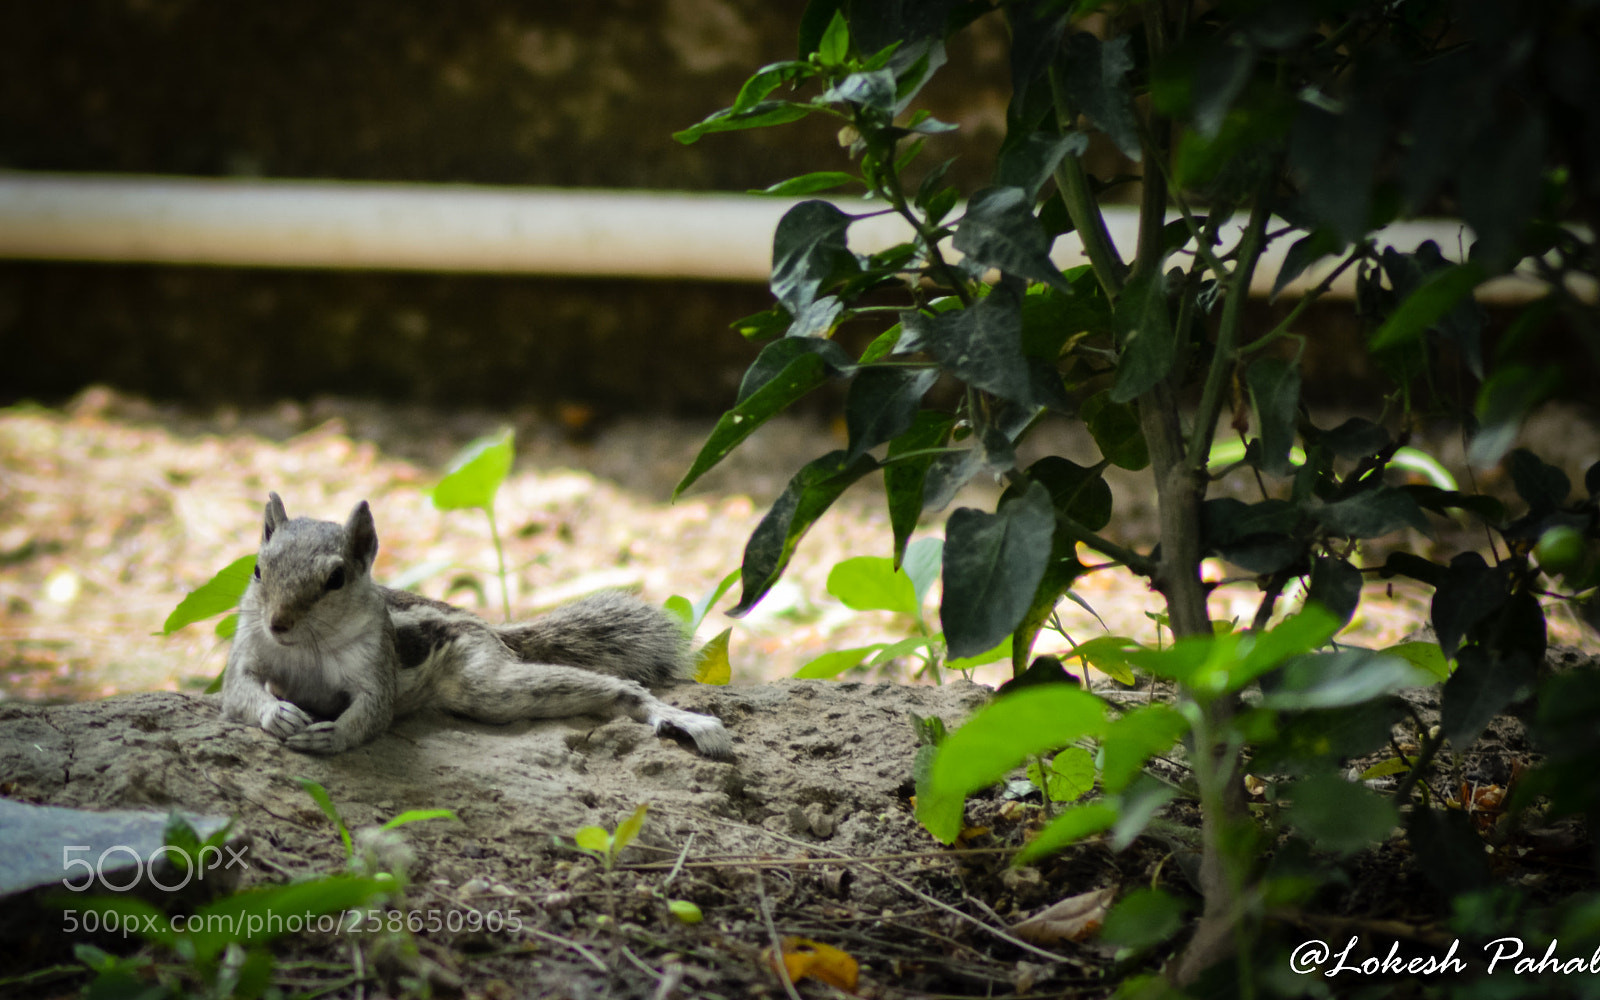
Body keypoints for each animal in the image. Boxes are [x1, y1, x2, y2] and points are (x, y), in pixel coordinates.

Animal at [220, 493, 732, 759]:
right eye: (258, 570)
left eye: (336, 579)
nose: (278, 624)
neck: (308, 645)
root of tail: (486, 627)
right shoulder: (249, 647)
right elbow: (238, 690)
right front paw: (275, 713)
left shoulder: (374, 663)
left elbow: (373, 713)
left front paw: (334, 734)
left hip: (485, 683)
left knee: (617, 687)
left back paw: (678, 717)